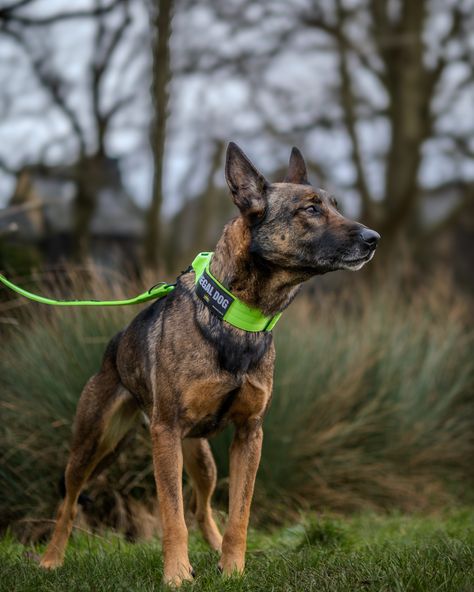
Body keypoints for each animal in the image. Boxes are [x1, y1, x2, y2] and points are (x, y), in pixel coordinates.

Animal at [40, 142, 382, 584]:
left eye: (335, 206)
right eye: (310, 209)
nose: (374, 238)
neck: (237, 316)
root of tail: (113, 348)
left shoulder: (249, 435)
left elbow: (239, 513)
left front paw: (233, 570)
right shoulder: (166, 433)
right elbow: (171, 516)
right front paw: (176, 575)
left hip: (200, 458)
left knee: (201, 509)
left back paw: (218, 551)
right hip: (93, 444)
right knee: (69, 502)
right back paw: (51, 559)